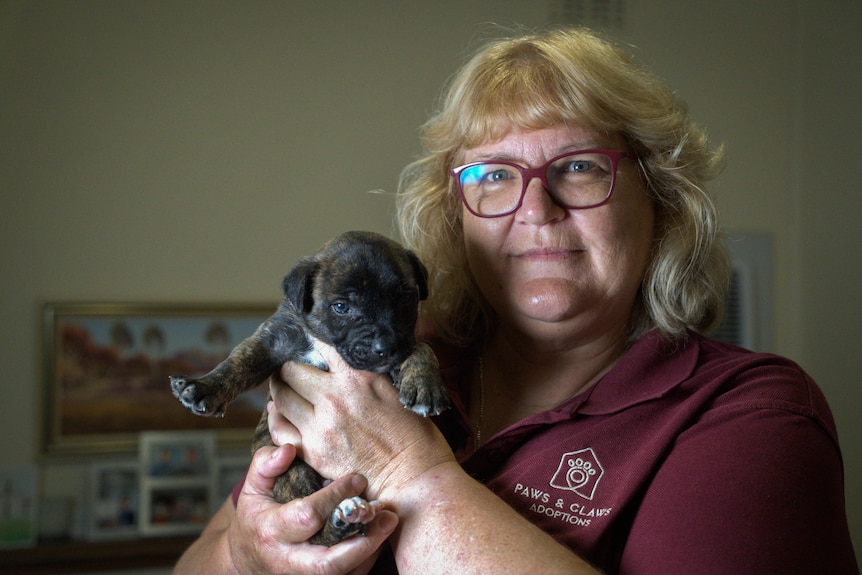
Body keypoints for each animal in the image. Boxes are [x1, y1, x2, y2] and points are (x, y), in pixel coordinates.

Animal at [170, 230, 452, 544]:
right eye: (341, 307)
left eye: (405, 298)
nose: (385, 347)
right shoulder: (272, 340)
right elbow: (238, 362)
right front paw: (203, 387)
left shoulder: (405, 343)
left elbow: (422, 347)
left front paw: (424, 384)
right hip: (292, 468)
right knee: (314, 528)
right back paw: (344, 520)